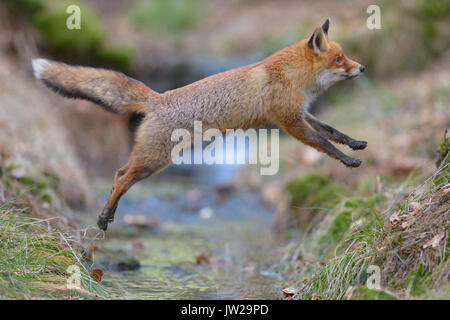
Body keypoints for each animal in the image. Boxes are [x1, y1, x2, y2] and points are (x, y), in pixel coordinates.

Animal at [33, 19, 368, 230]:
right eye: (339, 59)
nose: (363, 67)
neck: (291, 76)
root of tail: (159, 98)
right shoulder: (290, 122)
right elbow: (324, 144)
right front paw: (347, 160)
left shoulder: (301, 114)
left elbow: (333, 132)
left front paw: (354, 144)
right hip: (154, 160)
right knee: (120, 177)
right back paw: (104, 217)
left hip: (150, 159)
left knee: (118, 174)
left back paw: (108, 214)